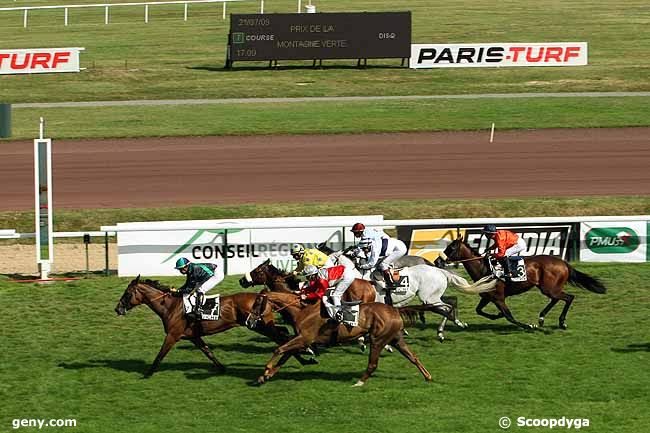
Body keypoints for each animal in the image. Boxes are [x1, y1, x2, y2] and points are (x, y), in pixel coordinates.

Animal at [115, 276, 316, 376]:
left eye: (127, 293)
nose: (117, 309)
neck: (170, 306)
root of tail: (263, 296)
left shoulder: (173, 335)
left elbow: (160, 354)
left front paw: (148, 373)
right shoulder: (194, 336)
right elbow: (208, 352)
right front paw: (222, 368)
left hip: (259, 326)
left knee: (282, 338)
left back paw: (306, 354)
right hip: (261, 325)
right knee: (283, 336)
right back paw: (306, 356)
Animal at [246, 292, 432, 386]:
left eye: (257, 304)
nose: (249, 321)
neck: (302, 311)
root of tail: (395, 310)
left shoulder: (304, 339)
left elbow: (279, 349)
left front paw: (266, 370)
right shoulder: (302, 340)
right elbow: (285, 355)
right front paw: (266, 376)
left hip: (378, 339)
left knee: (373, 364)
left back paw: (359, 382)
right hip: (396, 339)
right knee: (413, 357)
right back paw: (428, 376)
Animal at [432, 235, 604, 330]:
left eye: (451, 248)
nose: (437, 261)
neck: (484, 268)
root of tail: (563, 263)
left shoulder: (499, 298)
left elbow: (509, 316)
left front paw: (528, 325)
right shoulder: (488, 297)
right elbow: (479, 310)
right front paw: (496, 315)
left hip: (549, 288)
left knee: (568, 297)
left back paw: (560, 322)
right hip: (548, 288)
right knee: (558, 299)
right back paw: (542, 318)